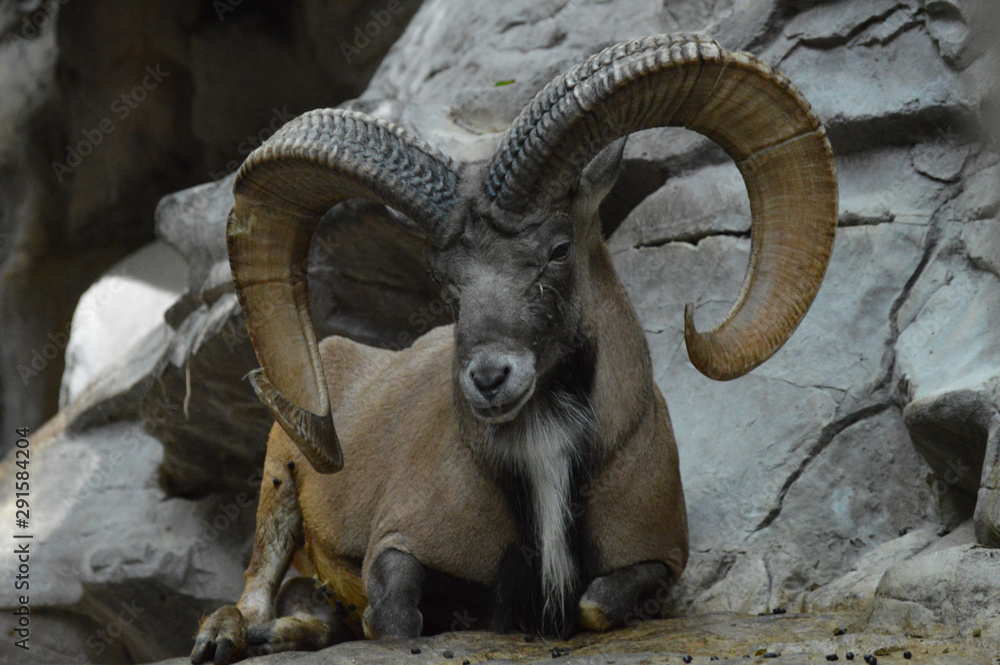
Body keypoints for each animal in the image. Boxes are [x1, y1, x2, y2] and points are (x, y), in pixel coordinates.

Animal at [189, 33, 836, 660]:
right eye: (444, 279)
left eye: (559, 249)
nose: (490, 378)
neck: (548, 468)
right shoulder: (396, 545)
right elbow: (394, 619)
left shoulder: (659, 560)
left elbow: (595, 604)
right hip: (278, 485)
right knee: (253, 595)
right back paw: (223, 638)